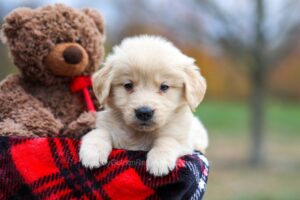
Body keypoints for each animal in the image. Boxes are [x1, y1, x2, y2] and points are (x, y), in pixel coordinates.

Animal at [78, 35, 207, 176]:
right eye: (128, 85)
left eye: (164, 87)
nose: (144, 112)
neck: (140, 134)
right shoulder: (109, 126)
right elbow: (99, 132)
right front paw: (92, 153)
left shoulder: (183, 140)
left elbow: (167, 140)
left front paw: (159, 161)